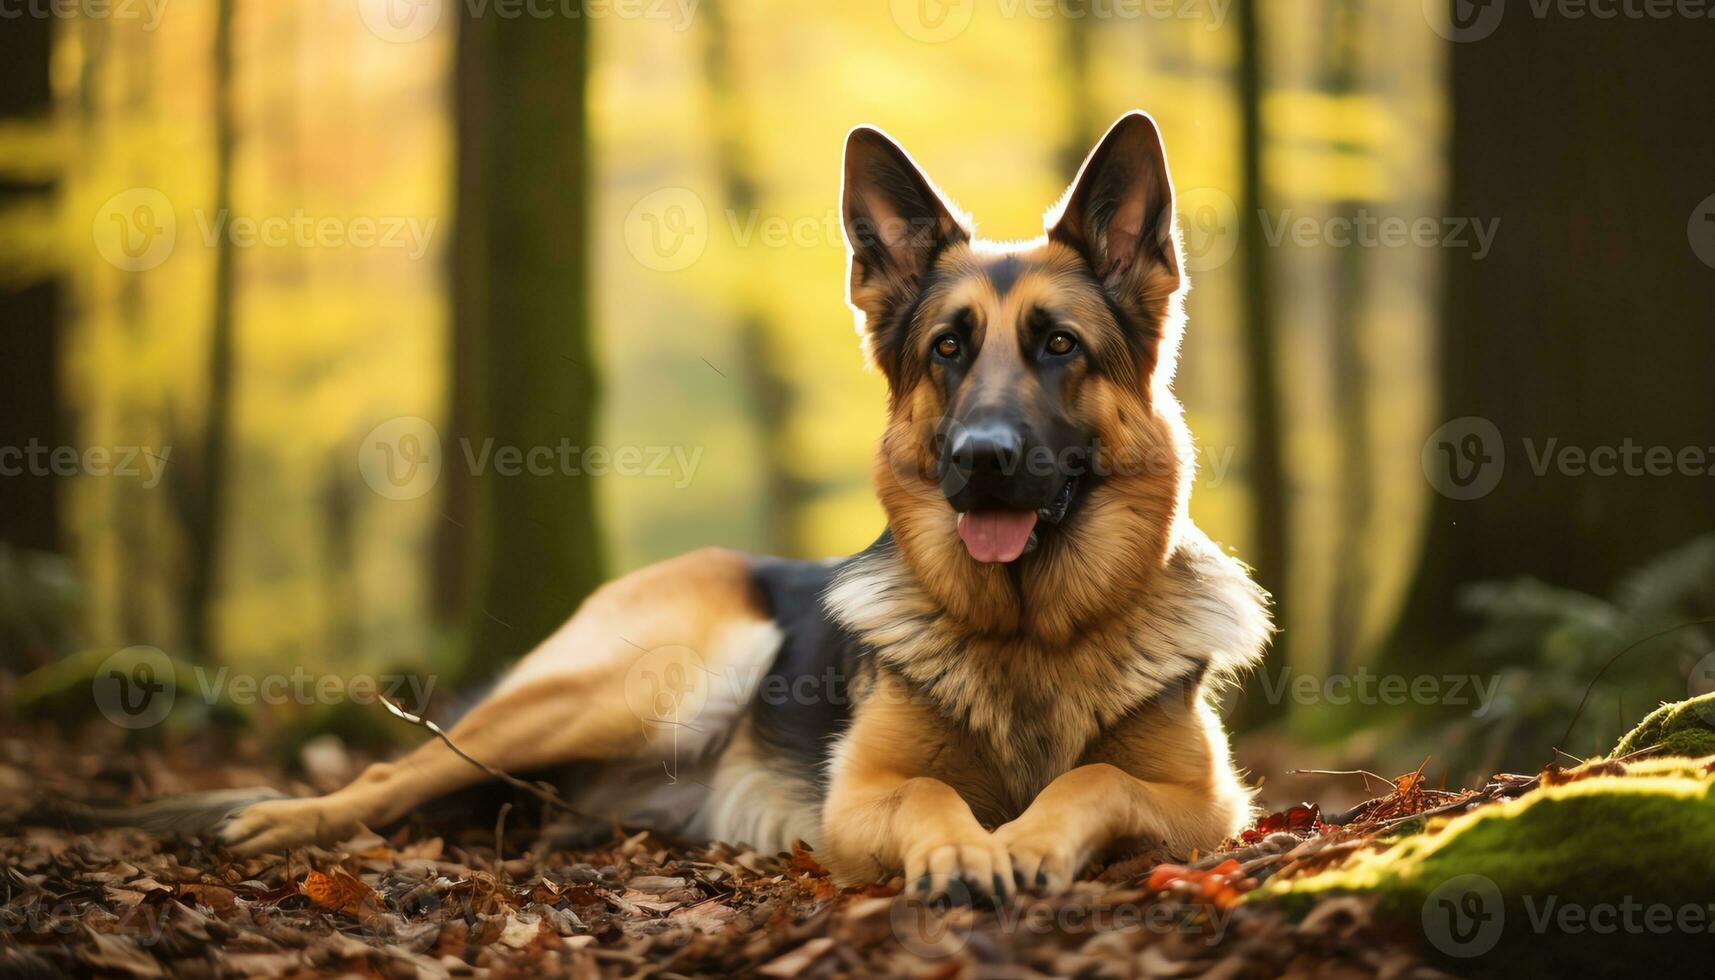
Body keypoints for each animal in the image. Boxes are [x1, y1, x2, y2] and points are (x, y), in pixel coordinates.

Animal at [214, 113, 1269, 906]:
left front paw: (1029, 839)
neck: (1029, 635)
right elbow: (931, 795)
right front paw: (962, 849)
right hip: (644, 681)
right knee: (397, 769)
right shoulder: (860, 795)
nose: (981, 458)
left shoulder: (1207, 803)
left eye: (1058, 345)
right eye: (947, 349)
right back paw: (279, 819)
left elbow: (1095, 775)